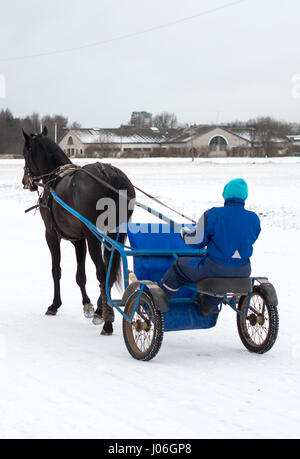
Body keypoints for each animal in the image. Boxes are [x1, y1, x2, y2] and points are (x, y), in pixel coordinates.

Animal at [22, 127, 136, 336]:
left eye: (25, 153)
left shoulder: (51, 235)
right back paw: (102, 310)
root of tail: (109, 175)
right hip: (113, 234)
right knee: (107, 270)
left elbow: (56, 270)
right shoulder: (78, 239)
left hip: (94, 237)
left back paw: (107, 322)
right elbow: (80, 275)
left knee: (101, 272)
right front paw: (88, 305)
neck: (55, 178)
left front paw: (54, 305)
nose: (26, 181)